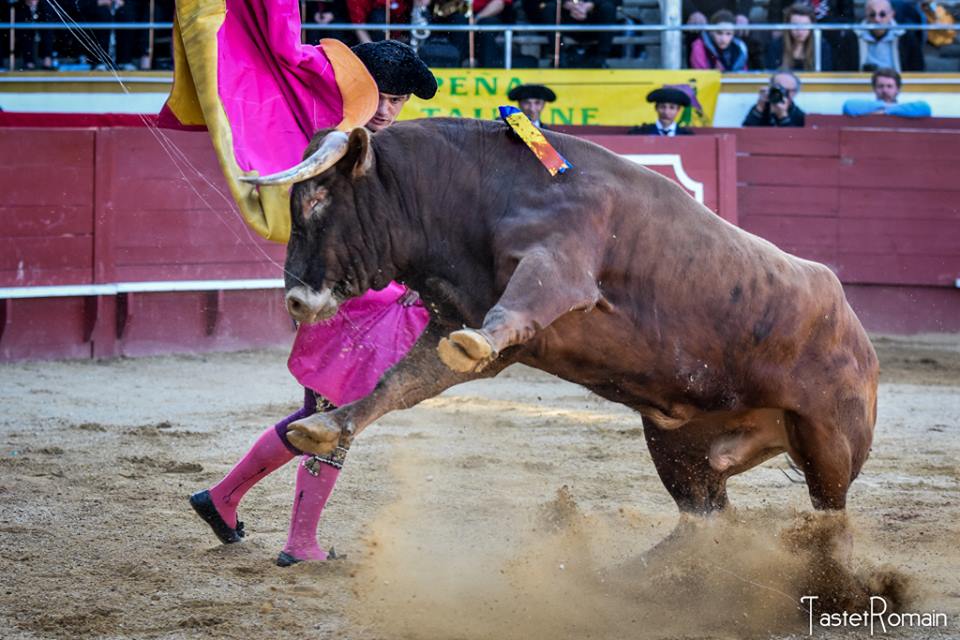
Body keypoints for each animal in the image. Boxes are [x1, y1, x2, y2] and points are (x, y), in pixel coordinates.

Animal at [242, 118, 878, 519]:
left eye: (317, 199)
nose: (295, 300)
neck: (476, 192)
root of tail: (859, 334)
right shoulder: (458, 318)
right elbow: (399, 382)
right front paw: (324, 425)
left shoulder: (561, 267)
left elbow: (511, 311)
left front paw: (473, 344)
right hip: (682, 451)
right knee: (709, 517)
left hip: (829, 442)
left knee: (831, 515)